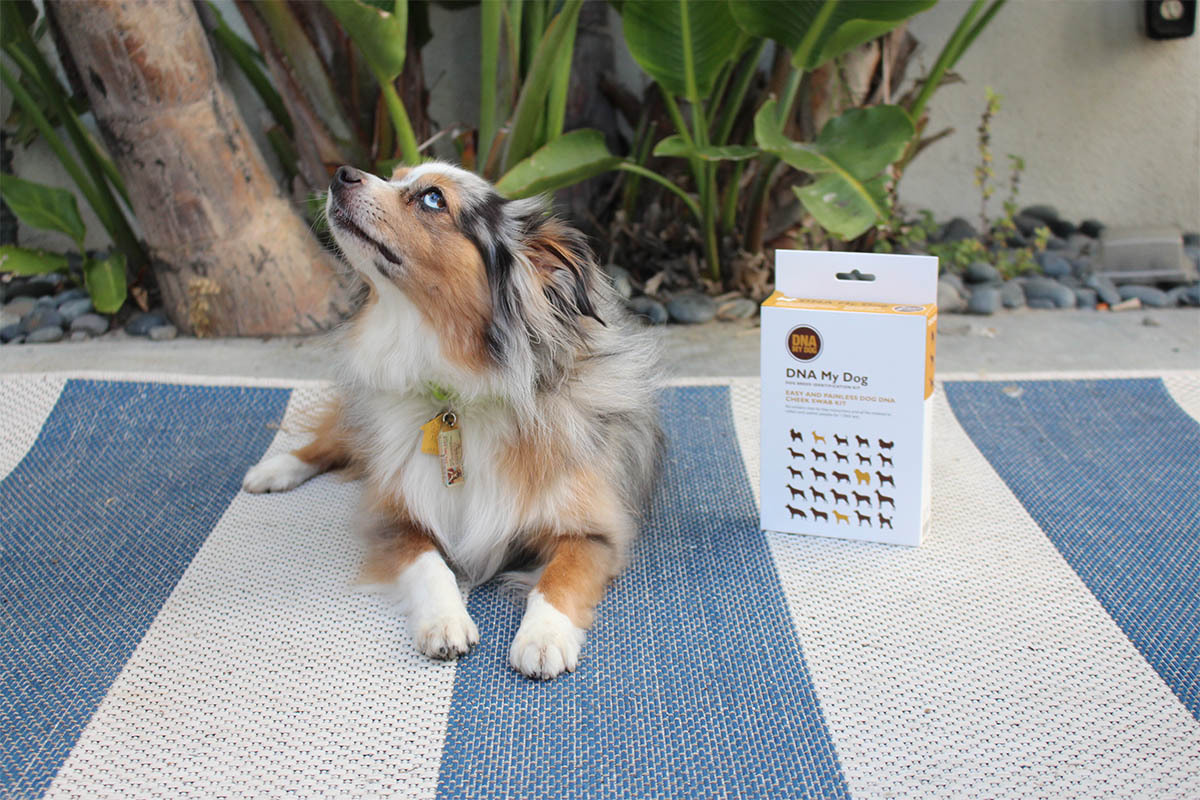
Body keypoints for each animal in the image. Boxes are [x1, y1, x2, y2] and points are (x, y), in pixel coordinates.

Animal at [241, 163, 667, 681]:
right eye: (395, 174)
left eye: (432, 199)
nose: (342, 173)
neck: (458, 394)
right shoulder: (395, 514)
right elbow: (430, 563)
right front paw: (444, 622)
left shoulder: (594, 531)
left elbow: (560, 577)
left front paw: (543, 638)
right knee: (329, 440)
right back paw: (272, 470)